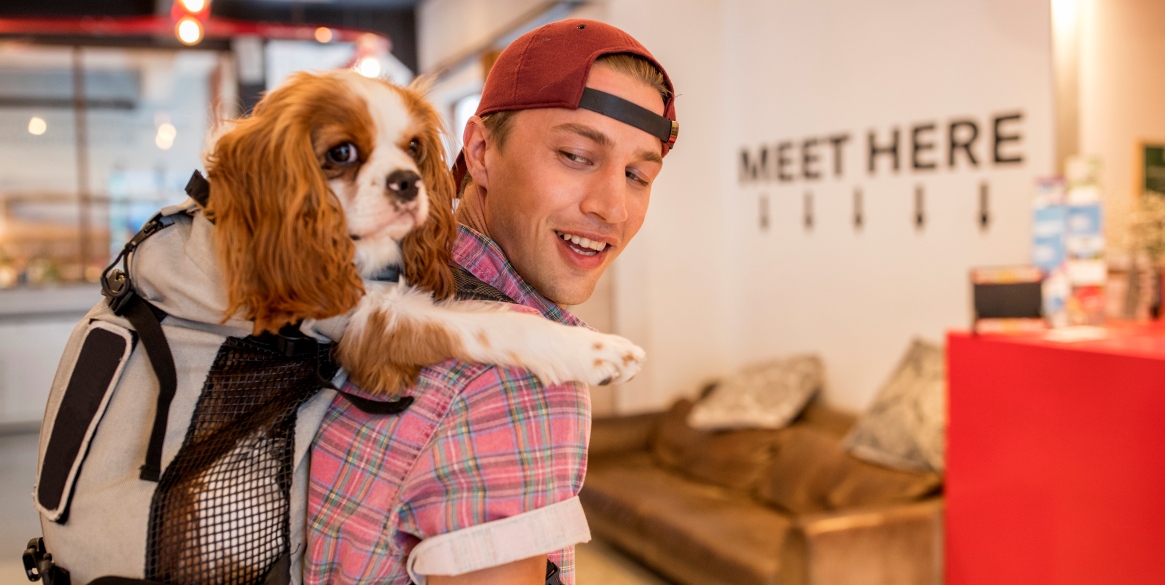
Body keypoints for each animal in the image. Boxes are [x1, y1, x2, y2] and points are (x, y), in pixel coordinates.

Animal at [202, 70, 647, 396]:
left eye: (414, 147)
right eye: (341, 153)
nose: (407, 181)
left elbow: (481, 312)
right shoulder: (362, 327)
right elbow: (489, 326)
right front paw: (595, 352)